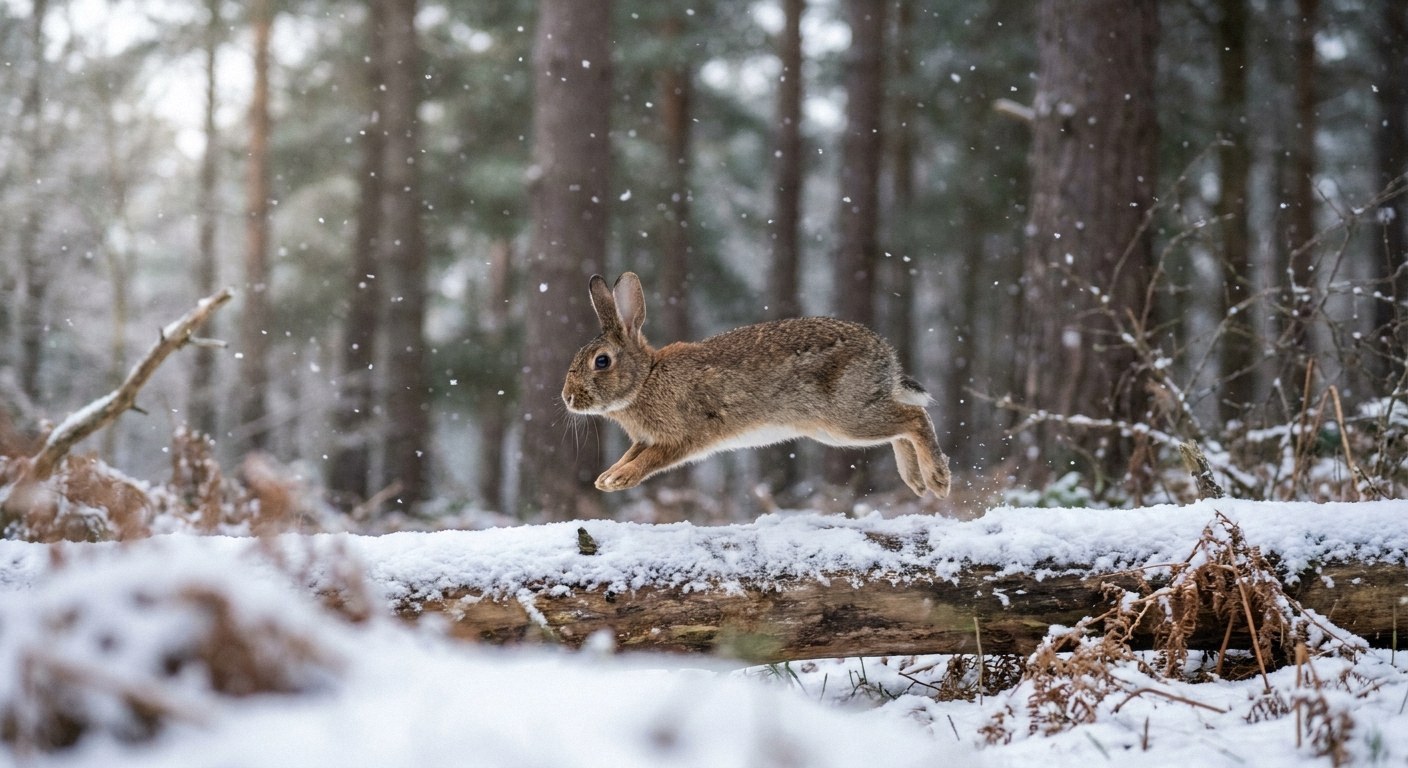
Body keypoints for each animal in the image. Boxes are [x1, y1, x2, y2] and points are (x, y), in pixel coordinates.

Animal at [561, 271, 951, 498]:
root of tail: (887, 359)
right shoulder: (644, 439)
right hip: (836, 429)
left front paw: (619, 480)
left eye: (601, 361)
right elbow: (630, 455)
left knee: (914, 418)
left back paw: (937, 480)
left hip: (848, 416)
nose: (567, 398)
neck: (645, 379)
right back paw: (916, 482)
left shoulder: (681, 437)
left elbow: (649, 461)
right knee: (903, 423)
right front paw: (607, 478)